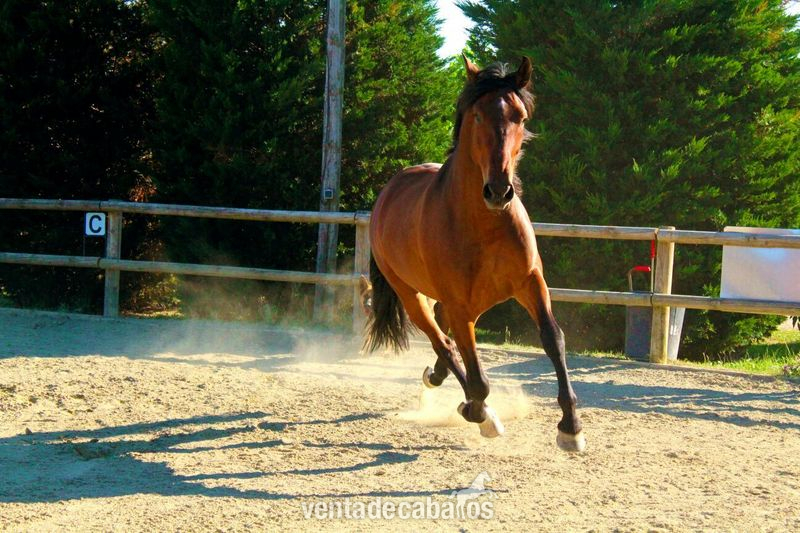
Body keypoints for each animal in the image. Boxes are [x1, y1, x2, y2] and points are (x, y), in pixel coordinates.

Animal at [365, 56, 585, 452]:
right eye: (478, 116)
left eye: (520, 117)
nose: (499, 191)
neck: (484, 224)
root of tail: (387, 193)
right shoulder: (460, 305)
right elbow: (479, 377)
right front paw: (479, 414)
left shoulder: (531, 283)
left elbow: (553, 339)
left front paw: (570, 427)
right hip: (411, 296)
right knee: (444, 342)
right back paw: (471, 405)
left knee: (446, 340)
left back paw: (436, 378)